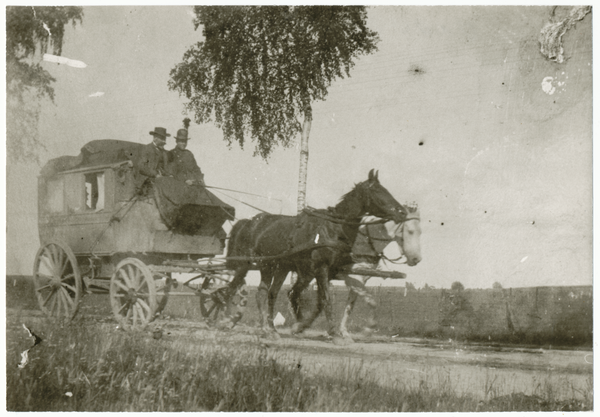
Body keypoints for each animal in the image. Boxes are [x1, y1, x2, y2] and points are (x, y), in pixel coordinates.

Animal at [226, 167, 408, 342]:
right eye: (377, 190)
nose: (402, 212)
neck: (333, 229)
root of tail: (250, 222)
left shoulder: (329, 272)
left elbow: (320, 301)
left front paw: (302, 326)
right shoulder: (321, 268)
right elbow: (326, 299)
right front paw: (335, 335)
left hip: (280, 267)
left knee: (269, 294)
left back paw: (270, 330)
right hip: (252, 264)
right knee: (235, 288)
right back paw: (224, 320)